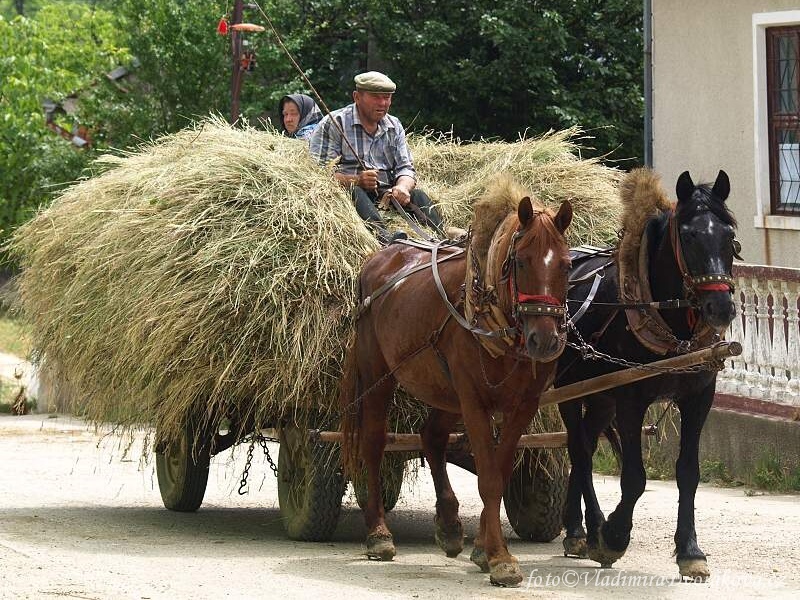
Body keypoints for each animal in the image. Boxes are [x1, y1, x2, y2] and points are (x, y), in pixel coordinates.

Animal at [340, 175, 572, 584]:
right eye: (520, 261)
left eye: (566, 264)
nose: (544, 340)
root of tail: (383, 253)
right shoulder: (474, 400)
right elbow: (489, 478)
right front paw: (499, 558)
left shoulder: (523, 405)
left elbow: (499, 470)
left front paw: (484, 549)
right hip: (379, 374)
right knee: (373, 442)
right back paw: (378, 534)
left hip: (445, 390)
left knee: (431, 436)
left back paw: (448, 525)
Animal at [556, 168, 736, 580]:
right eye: (689, 235)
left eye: (729, 235)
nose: (721, 307)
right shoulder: (631, 399)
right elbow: (635, 478)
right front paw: (614, 536)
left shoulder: (698, 397)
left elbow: (688, 472)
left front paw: (690, 551)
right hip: (569, 390)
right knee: (579, 449)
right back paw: (591, 528)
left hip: (601, 397)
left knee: (585, 443)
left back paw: (579, 530)